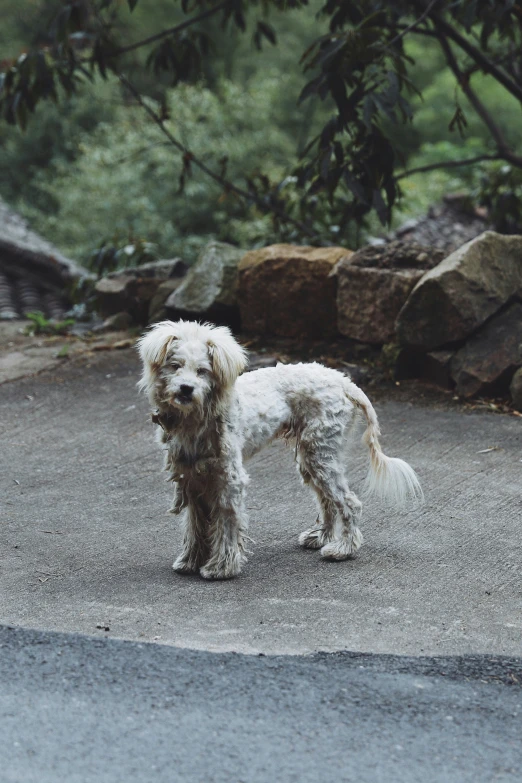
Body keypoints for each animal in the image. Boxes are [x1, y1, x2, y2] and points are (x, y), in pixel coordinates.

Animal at [136, 318, 420, 580]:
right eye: (175, 366)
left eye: (202, 371)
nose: (186, 389)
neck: (199, 416)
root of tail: (344, 381)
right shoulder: (193, 479)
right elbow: (195, 525)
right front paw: (191, 560)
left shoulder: (229, 480)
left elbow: (226, 522)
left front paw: (221, 567)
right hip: (311, 456)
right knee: (327, 500)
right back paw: (321, 537)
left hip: (320, 454)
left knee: (349, 502)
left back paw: (343, 549)